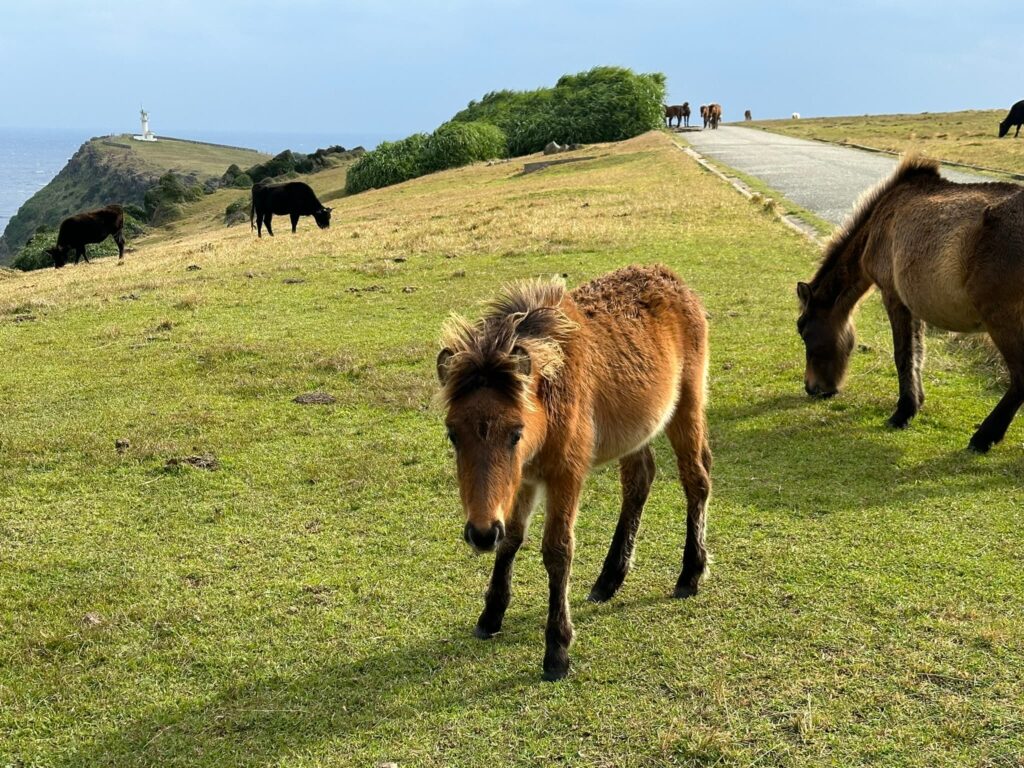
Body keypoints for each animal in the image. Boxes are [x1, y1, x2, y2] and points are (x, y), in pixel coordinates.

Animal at [438, 268, 712, 684]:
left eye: (515, 433)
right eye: (453, 434)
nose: (481, 533)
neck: (553, 387)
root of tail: (674, 281)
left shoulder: (565, 474)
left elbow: (557, 550)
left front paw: (557, 649)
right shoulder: (525, 479)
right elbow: (512, 539)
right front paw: (491, 615)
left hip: (686, 407)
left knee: (696, 481)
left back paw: (690, 574)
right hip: (636, 430)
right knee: (639, 480)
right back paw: (609, 579)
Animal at [794, 154, 1024, 454]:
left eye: (804, 331)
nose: (812, 387)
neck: (879, 224)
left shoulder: (893, 298)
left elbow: (903, 355)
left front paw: (903, 412)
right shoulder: (914, 307)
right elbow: (917, 355)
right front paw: (916, 402)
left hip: (1003, 321)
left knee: (1021, 378)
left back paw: (984, 437)